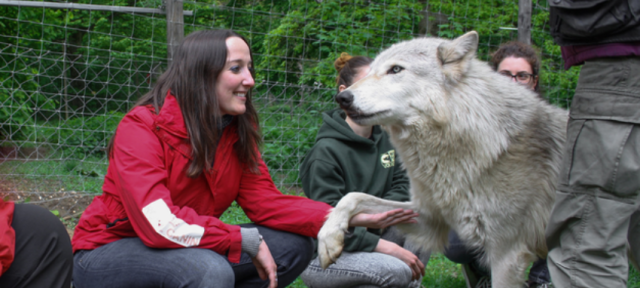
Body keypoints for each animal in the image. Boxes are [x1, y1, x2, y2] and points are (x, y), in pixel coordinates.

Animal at [318, 31, 568, 288]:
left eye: (396, 69)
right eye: (369, 72)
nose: (342, 97)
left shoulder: (506, 253)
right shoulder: (430, 218)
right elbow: (352, 197)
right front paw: (328, 240)